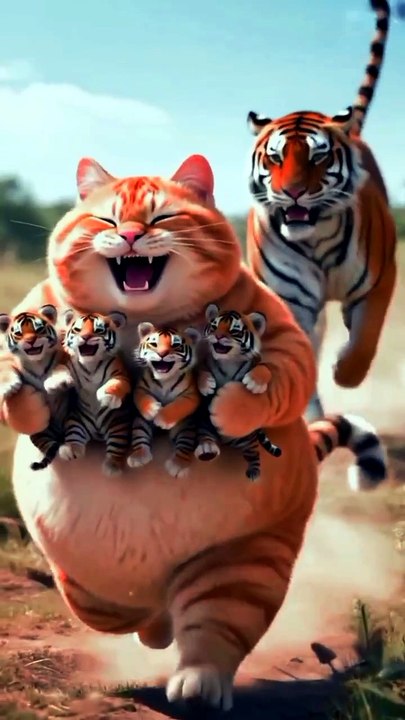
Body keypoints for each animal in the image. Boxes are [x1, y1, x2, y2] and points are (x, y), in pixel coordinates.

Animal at [0, 304, 71, 470]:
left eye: (39, 329)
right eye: (18, 333)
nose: (31, 341)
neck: (37, 362)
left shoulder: (62, 355)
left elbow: (61, 364)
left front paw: (57, 380)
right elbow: (6, 369)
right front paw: (9, 386)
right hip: (41, 434)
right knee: (52, 447)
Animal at [45, 310, 132, 477]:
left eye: (99, 330)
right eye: (77, 330)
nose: (85, 337)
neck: (90, 365)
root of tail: (97, 432)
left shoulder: (121, 375)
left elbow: (115, 383)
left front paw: (107, 396)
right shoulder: (68, 363)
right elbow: (60, 369)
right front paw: (55, 382)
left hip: (117, 424)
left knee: (116, 448)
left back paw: (112, 467)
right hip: (76, 421)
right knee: (74, 437)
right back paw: (69, 450)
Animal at [129, 322, 201, 478]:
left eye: (176, 345)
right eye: (154, 344)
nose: (162, 354)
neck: (165, 380)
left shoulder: (192, 395)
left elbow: (179, 405)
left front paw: (161, 419)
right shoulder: (140, 388)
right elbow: (143, 398)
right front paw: (153, 410)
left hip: (186, 426)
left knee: (184, 444)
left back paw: (178, 465)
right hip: (140, 422)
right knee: (139, 437)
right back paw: (138, 457)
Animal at [196, 304, 282, 481]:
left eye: (234, 330)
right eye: (214, 326)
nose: (218, 336)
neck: (228, 361)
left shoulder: (257, 362)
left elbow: (264, 368)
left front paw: (254, 383)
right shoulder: (205, 363)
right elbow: (201, 371)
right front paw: (206, 385)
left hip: (246, 441)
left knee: (254, 453)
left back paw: (254, 473)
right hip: (205, 425)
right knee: (206, 438)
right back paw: (207, 450)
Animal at [246, 0, 396, 423]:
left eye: (318, 156)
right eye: (276, 157)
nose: (292, 192)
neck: (316, 239)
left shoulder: (380, 281)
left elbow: (365, 340)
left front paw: (344, 371)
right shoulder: (289, 300)